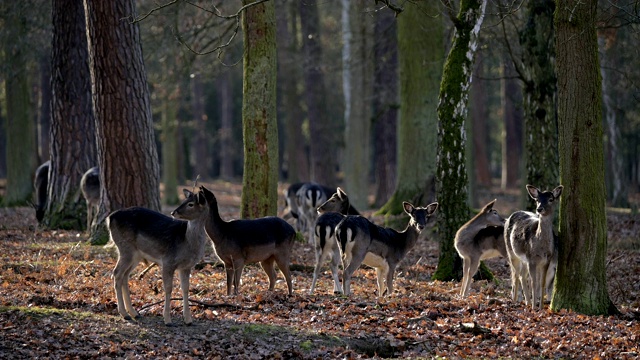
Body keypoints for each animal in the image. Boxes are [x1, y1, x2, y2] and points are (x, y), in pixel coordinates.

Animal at [107, 188, 208, 326]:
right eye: (184, 201)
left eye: (190, 204)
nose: (173, 212)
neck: (187, 242)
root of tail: (110, 218)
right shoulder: (168, 261)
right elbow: (168, 288)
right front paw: (167, 320)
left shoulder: (186, 266)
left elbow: (185, 288)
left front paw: (188, 320)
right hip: (125, 248)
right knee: (116, 273)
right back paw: (124, 313)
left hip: (135, 255)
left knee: (125, 275)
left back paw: (134, 313)